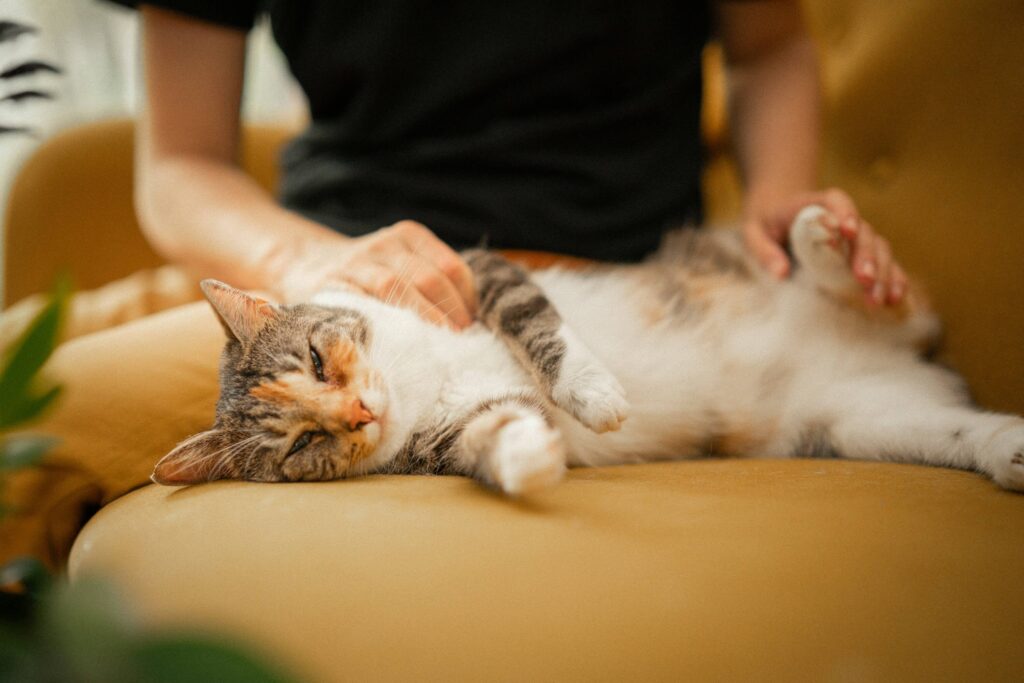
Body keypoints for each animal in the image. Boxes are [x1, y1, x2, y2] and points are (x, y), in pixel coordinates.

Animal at [149, 205, 1024, 493]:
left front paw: (594, 396)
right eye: (302, 443)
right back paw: (1008, 448)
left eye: (319, 360)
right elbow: (494, 433)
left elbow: (540, 326)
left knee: (897, 300)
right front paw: (529, 457)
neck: (419, 377)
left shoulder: (480, 269)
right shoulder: (457, 428)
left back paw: (830, 241)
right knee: (954, 423)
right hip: (855, 423)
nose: (361, 411)